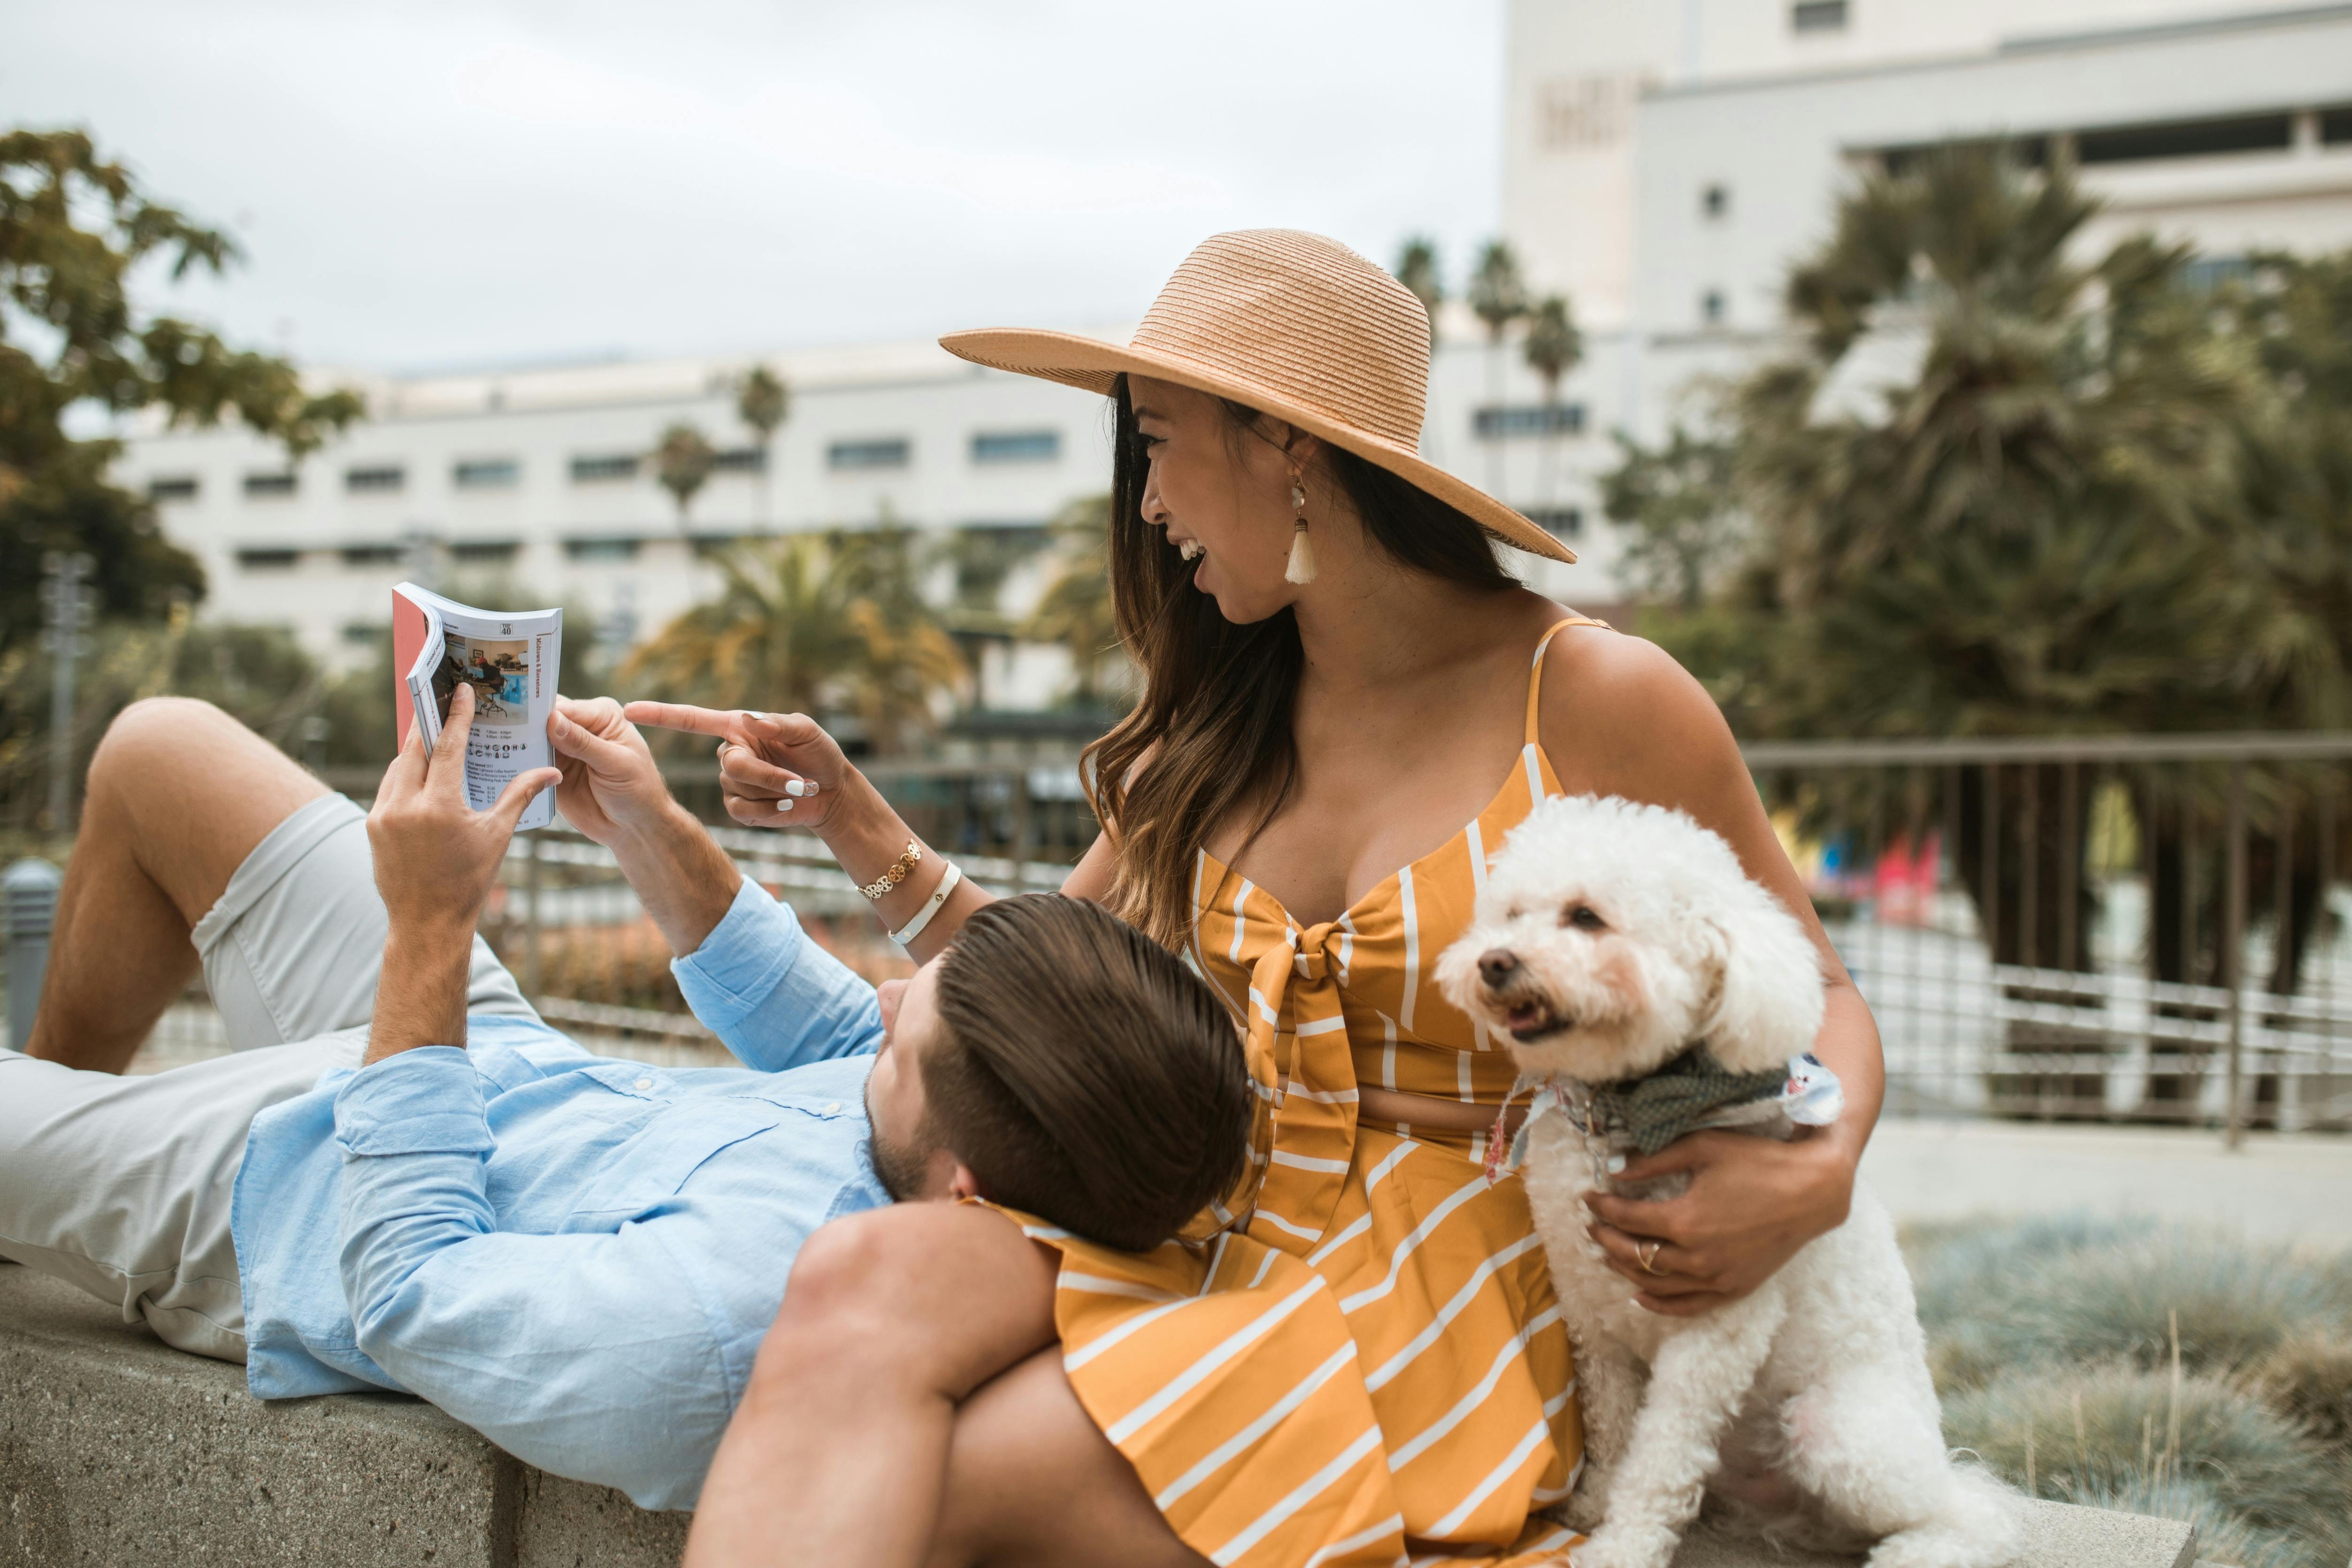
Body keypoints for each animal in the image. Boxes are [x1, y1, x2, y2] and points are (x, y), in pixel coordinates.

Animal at [1430, 799, 2023, 1568]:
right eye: (1509, 914)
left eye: (1586, 917)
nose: (1493, 961)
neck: (1621, 1110)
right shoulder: (1590, 1315)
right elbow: (1613, 1427)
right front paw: (1592, 1508)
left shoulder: (1714, 1330)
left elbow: (1658, 1457)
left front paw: (1623, 1546)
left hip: (1838, 1430)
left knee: (1964, 1508)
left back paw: (1921, 1548)